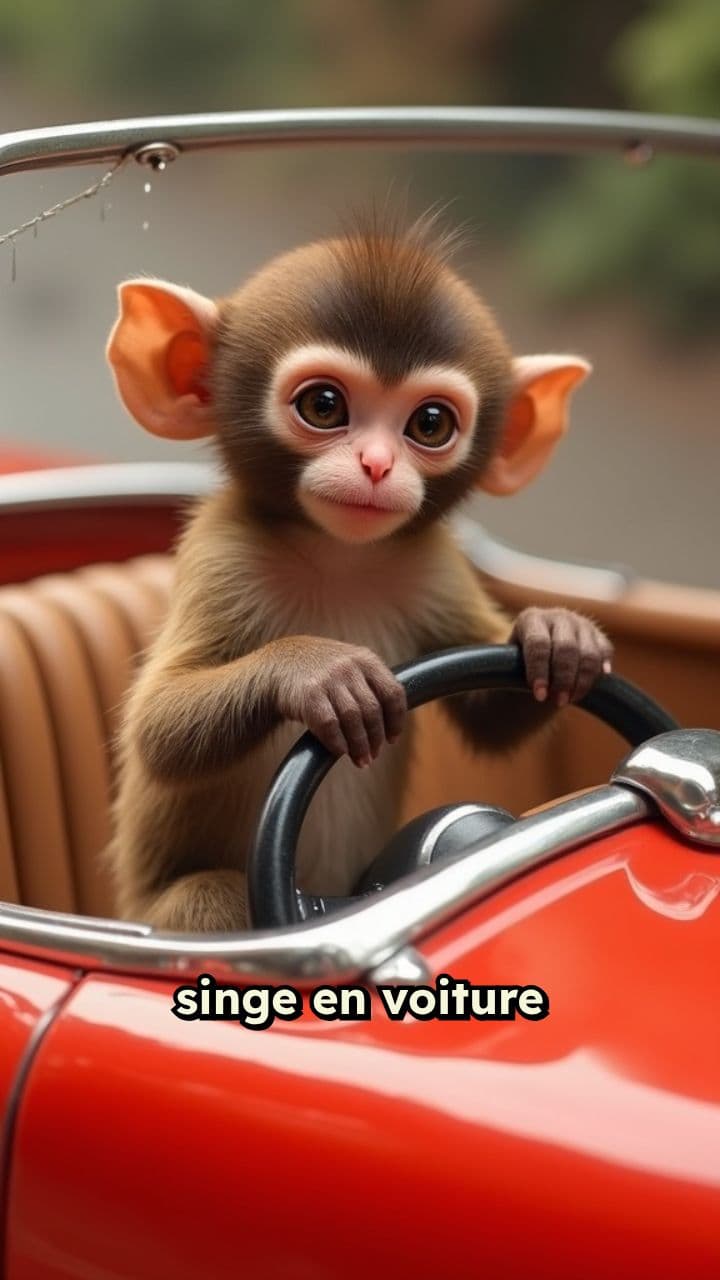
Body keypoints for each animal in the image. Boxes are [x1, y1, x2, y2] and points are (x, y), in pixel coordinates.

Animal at [105, 218, 612, 932]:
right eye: (324, 406)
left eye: (430, 422)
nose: (375, 464)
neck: (340, 558)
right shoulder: (222, 554)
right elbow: (157, 728)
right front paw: (319, 672)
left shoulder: (434, 568)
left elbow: (490, 711)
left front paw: (556, 635)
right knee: (209, 896)